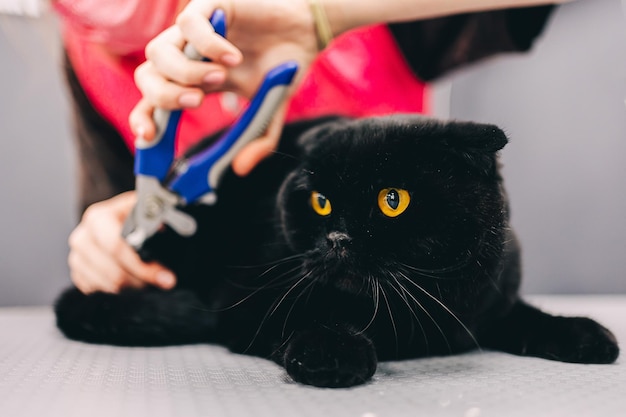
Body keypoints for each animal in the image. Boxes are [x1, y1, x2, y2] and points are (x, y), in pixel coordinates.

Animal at [57, 114, 616, 386]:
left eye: (393, 200)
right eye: (321, 202)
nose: (337, 239)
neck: (415, 316)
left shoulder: (491, 297)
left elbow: (524, 315)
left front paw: (582, 334)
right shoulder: (245, 304)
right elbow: (305, 319)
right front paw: (334, 352)